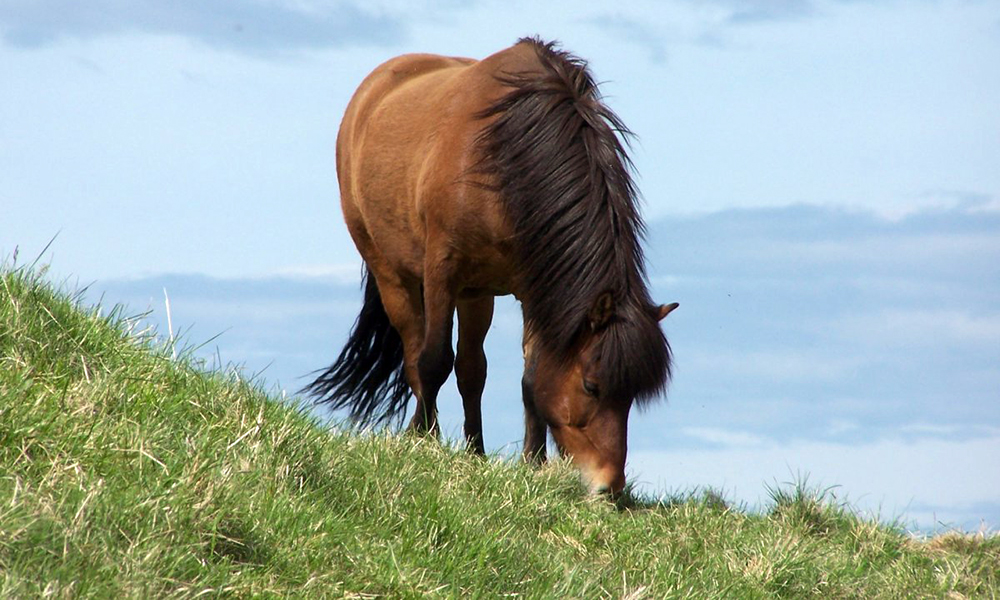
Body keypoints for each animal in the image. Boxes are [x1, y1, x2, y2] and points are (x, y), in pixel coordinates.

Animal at [306, 38, 680, 496]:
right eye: (592, 386)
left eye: (631, 396)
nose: (609, 487)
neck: (504, 160)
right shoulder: (441, 274)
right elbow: (433, 360)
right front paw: (426, 445)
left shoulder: (533, 289)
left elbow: (529, 377)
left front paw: (532, 463)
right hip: (393, 274)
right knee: (415, 353)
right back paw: (424, 433)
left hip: (477, 294)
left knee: (471, 369)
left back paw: (475, 450)